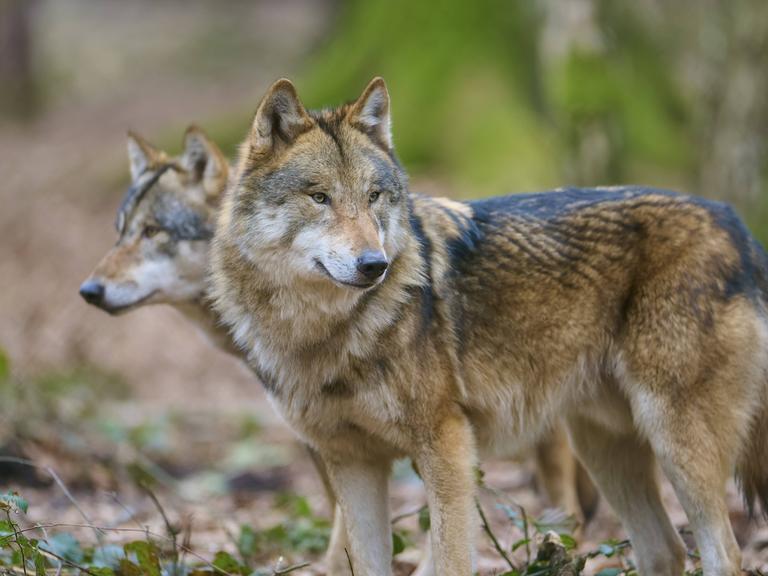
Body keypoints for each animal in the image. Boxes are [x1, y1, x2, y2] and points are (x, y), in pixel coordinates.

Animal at [210, 76, 768, 576]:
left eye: (373, 196)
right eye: (319, 197)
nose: (375, 265)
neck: (323, 333)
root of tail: (736, 224)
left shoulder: (448, 446)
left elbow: (451, 559)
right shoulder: (353, 463)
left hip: (674, 438)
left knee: (725, 552)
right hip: (603, 447)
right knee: (666, 551)